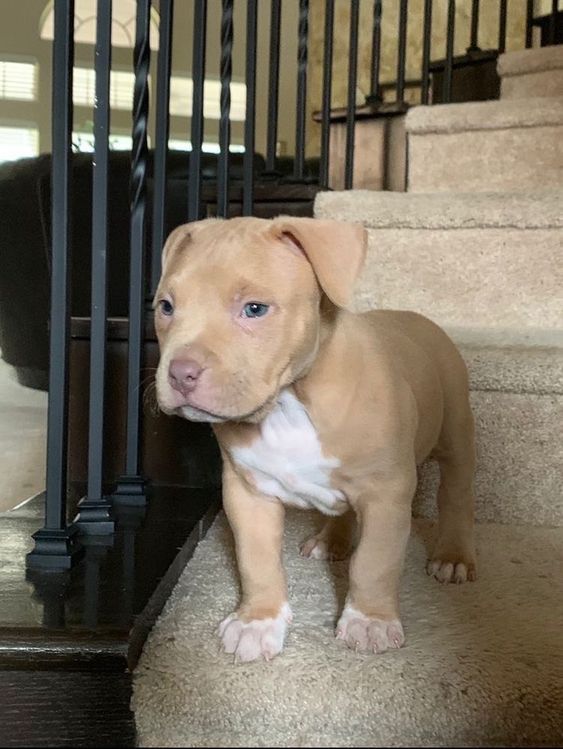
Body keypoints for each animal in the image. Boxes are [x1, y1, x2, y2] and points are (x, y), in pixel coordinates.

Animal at [154, 215, 476, 660]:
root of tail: (417, 317)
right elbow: (255, 559)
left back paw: (453, 555)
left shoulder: (386, 493)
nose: (179, 373)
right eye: (166, 307)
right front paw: (258, 621)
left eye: (254, 309)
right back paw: (331, 541)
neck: (289, 403)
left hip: (456, 433)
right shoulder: (247, 492)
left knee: (455, 496)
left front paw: (369, 620)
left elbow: (374, 561)